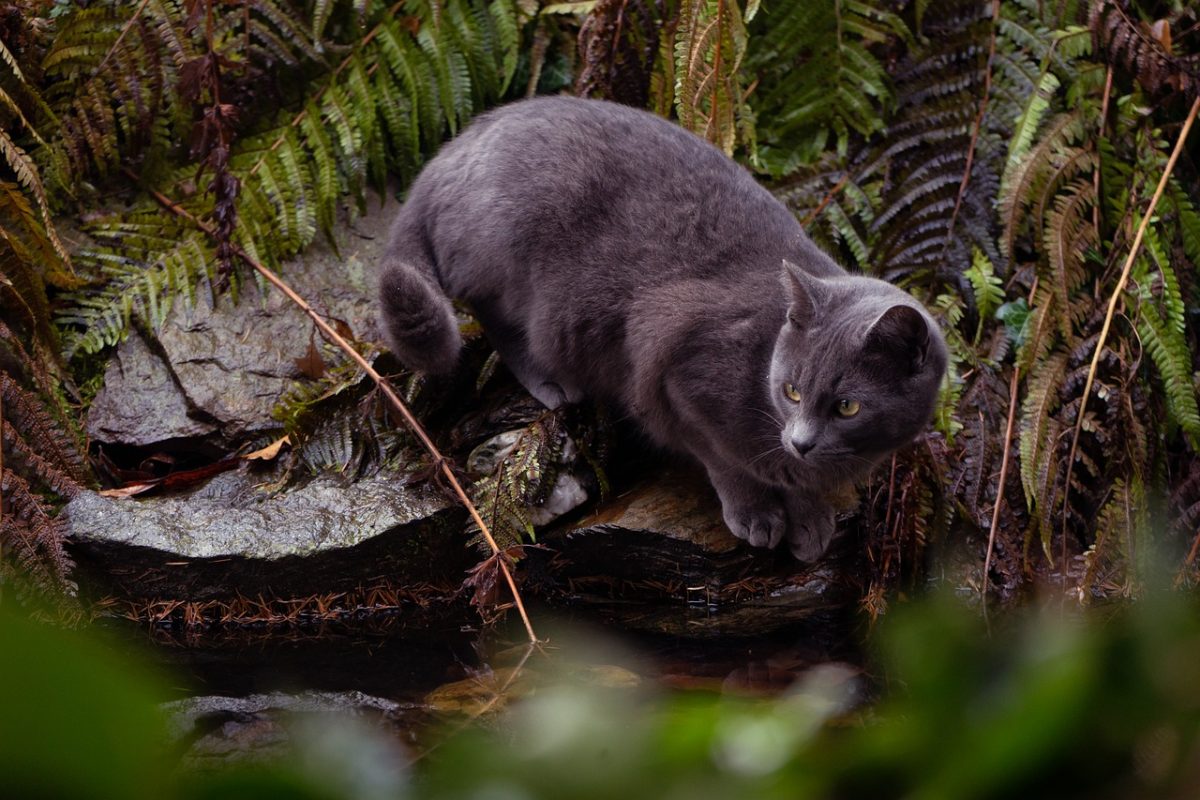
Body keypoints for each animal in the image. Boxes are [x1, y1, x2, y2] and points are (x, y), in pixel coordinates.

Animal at [374, 97, 945, 563]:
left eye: (847, 406)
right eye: (792, 391)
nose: (801, 441)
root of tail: (450, 152)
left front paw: (810, 517)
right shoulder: (676, 372)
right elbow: (722, 455)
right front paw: (759, 513)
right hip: (511, 261)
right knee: (497, 318)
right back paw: (554, 382)